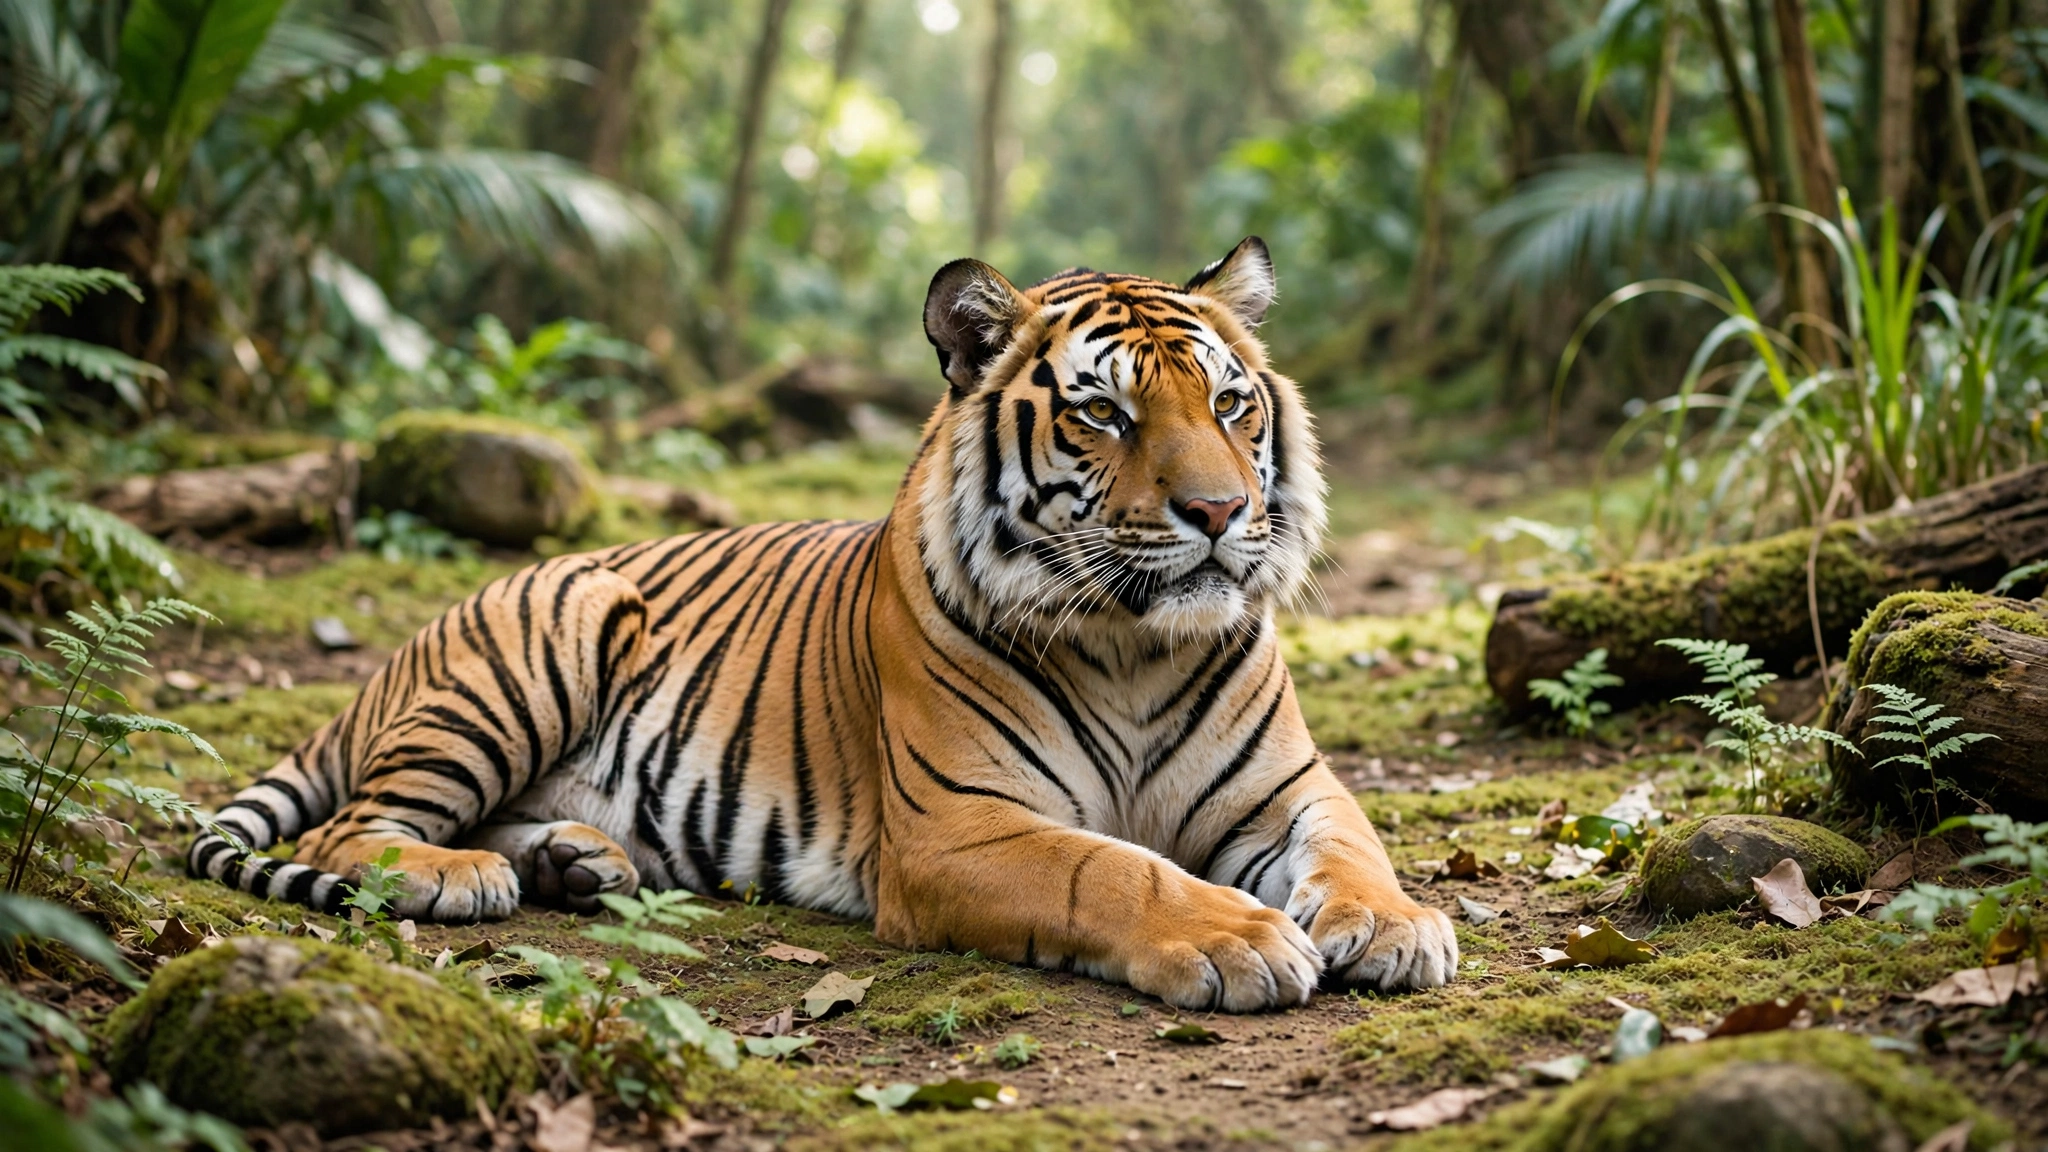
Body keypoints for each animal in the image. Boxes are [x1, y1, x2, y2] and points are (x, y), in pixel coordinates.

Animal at [187, 238, 1458, 1010]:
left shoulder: (1288, 789)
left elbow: (1352, 845)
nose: (1218, 512)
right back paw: (457, 877)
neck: (1131, 646)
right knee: (345, 830)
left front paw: (1396, 927)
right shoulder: (959, 830)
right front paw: (1238, 938)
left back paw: (576, 860)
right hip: (543, 644)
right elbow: (1114, 872)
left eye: (1230, 403)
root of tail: (396, 658)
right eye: (1104, 413)